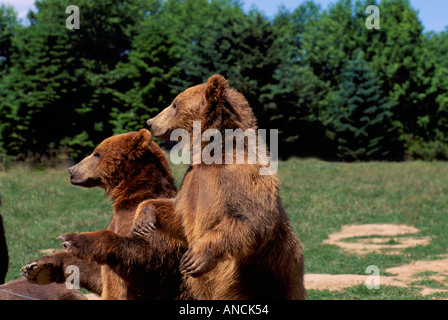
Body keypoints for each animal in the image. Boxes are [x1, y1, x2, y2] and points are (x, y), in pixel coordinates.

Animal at [22, 130, 191, 300]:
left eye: (96, 153)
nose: (71, 170)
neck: (129, 198)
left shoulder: (152, 223)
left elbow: (150, 259)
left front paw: (72, 239)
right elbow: (97, 274)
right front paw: (38, 267)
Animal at [131, 75, 306, 300]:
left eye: (174, 104)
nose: (150, 123)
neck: (213, 151)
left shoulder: (239, 176)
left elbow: (251, 218)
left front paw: (193, 258)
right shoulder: (192, 179)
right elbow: (178, 214)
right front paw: (143, 221)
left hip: (269, 275)